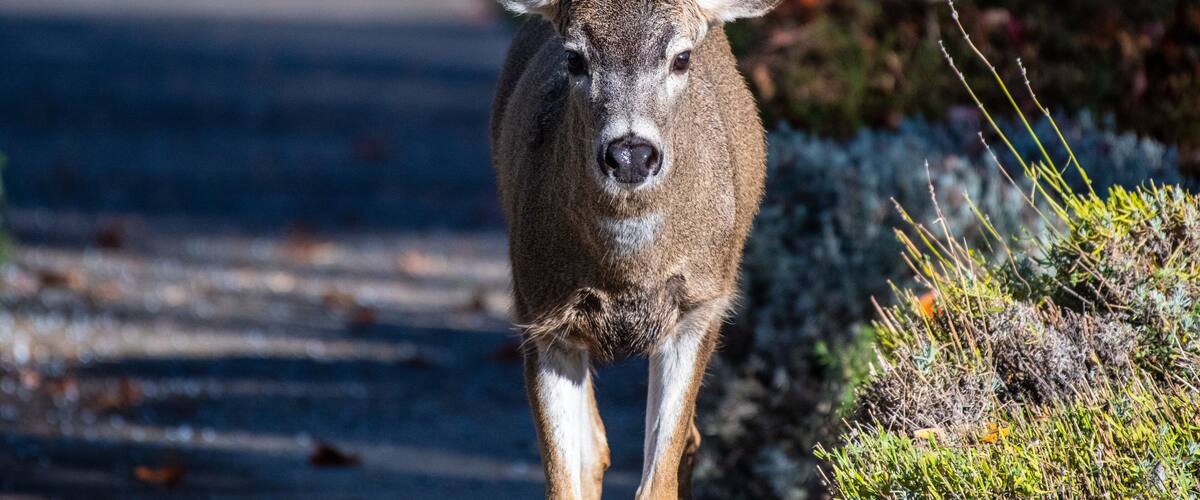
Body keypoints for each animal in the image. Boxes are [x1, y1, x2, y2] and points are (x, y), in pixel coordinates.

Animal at [490, 0, 779, 498]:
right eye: (574, 59)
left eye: (681, 58)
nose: (629, 154)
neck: (628, 275)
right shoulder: (540, 316)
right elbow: (566, 481)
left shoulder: (699, 308)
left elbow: (658, 482)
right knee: (597, 449)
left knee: (688, 441)